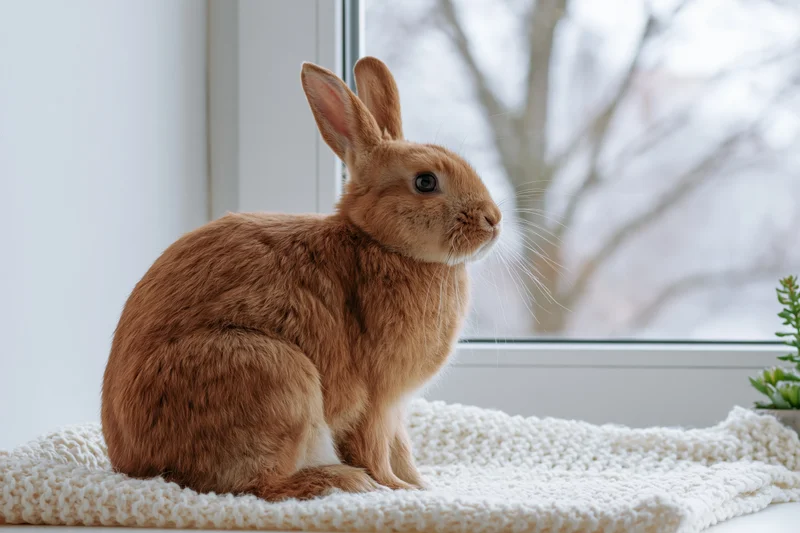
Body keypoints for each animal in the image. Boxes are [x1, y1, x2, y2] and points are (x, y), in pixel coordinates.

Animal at [101, 56, 502, 501]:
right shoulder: (377, 400)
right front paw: (396, 488)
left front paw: (419, 483)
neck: (378, 241)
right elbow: (377, 448)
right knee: (262, 485)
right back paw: (343, 480)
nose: (493, 220)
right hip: (277, 379)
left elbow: (402, 448)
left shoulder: (395, 409)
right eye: (425, 182)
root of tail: (133, 463)